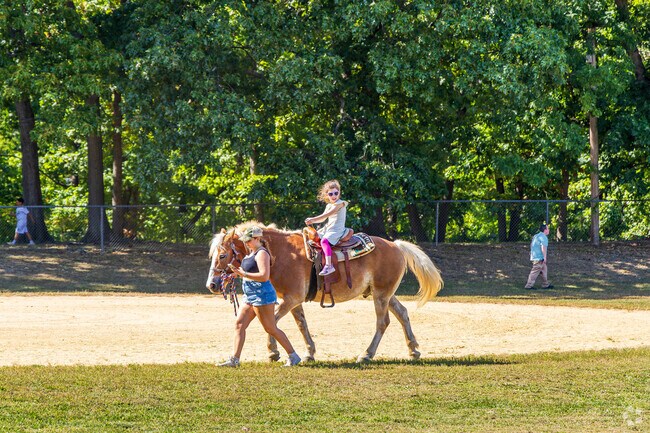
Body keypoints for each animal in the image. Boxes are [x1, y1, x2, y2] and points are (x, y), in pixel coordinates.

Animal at [206, 221, 443, 363]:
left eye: (223, 255)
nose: (212, 284)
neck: (281, 254)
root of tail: (396, 246)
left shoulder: (291, 298)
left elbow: (272, 322)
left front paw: (273, 351)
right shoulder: (294, 300)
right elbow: (301, 325)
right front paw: (309, 352)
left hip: (381, 295)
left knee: (383, 322)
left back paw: (366, 354)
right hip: (385, 294)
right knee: (403, 313)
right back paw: (413, 350)